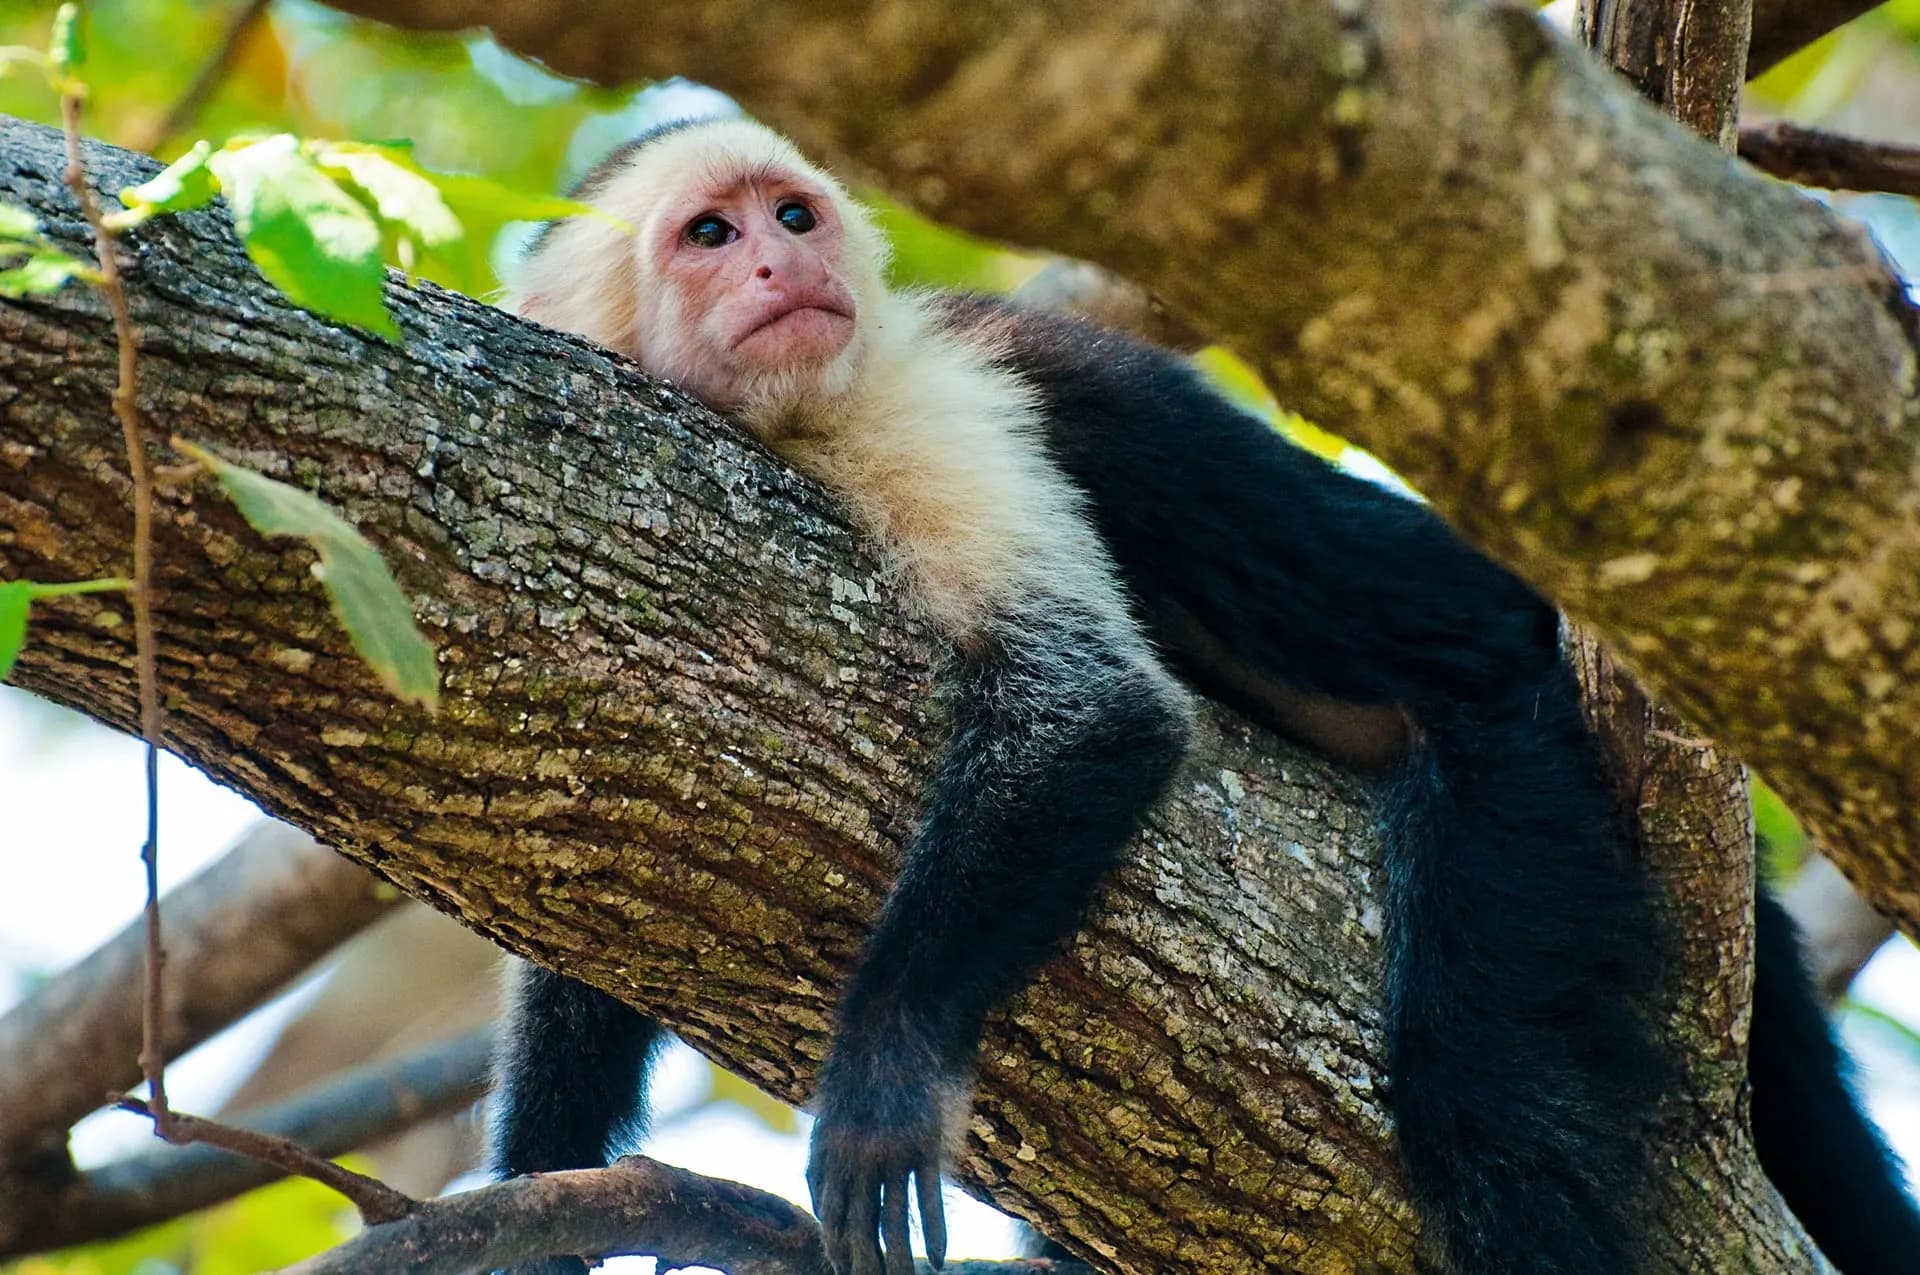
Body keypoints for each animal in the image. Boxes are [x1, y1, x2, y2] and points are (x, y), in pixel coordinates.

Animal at [489, 116, 1920, 1275]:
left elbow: (1092, 710)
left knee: (1485, 1097)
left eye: (791, 218)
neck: (787, 426)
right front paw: (533, 1196)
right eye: (710, 236)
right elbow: (605, 885)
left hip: (1533, 744)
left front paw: (885, 1073)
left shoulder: (919, 403)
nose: (786, 270)